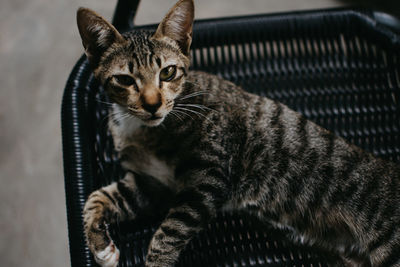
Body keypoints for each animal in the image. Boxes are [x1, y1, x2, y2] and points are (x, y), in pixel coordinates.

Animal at [76, 1, 400, 266]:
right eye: (124, 79)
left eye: (167, 72)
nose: (153, 105)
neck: (142, 130)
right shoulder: (151, 186)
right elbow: (96, 197)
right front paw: (101, 247)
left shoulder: (210, 178)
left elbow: (167, 233)